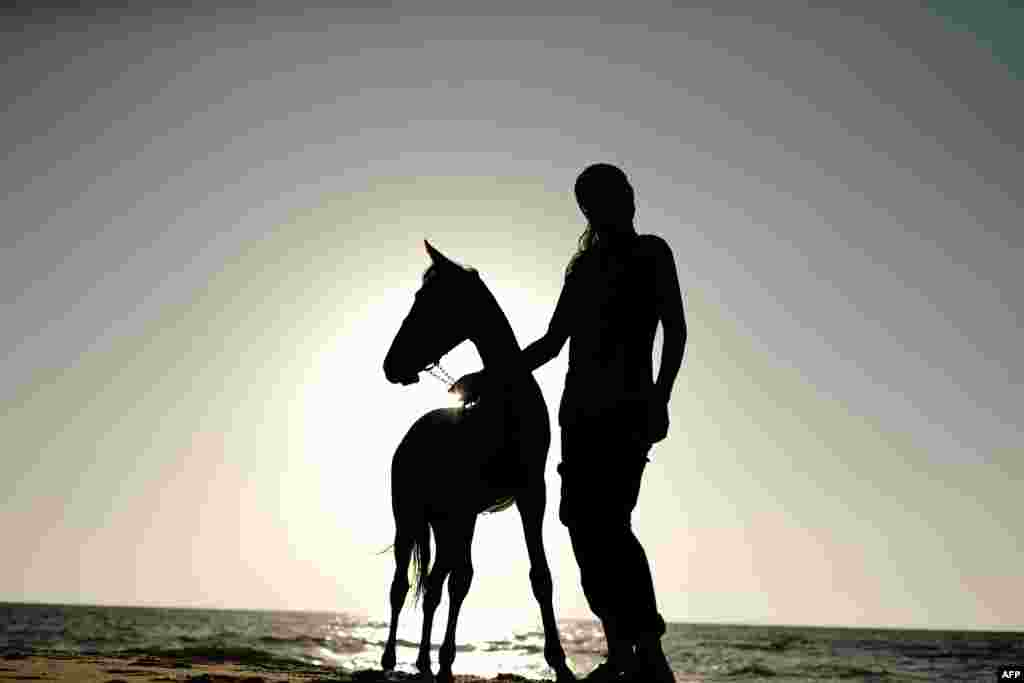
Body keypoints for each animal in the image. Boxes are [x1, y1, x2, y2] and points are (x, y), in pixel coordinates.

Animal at [385, 241, 577, 683]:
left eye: (426, 301)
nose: (390, 365)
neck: (506, 407)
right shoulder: (468, 506)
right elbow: (460, 581)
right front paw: (445, 661)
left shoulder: (531, 495)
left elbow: (538, 576)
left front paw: (560, 663)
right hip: (411, 518)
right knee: (402, 585)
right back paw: (389, 660)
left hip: (445, 522)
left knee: (434, 585)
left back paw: (423, 663)